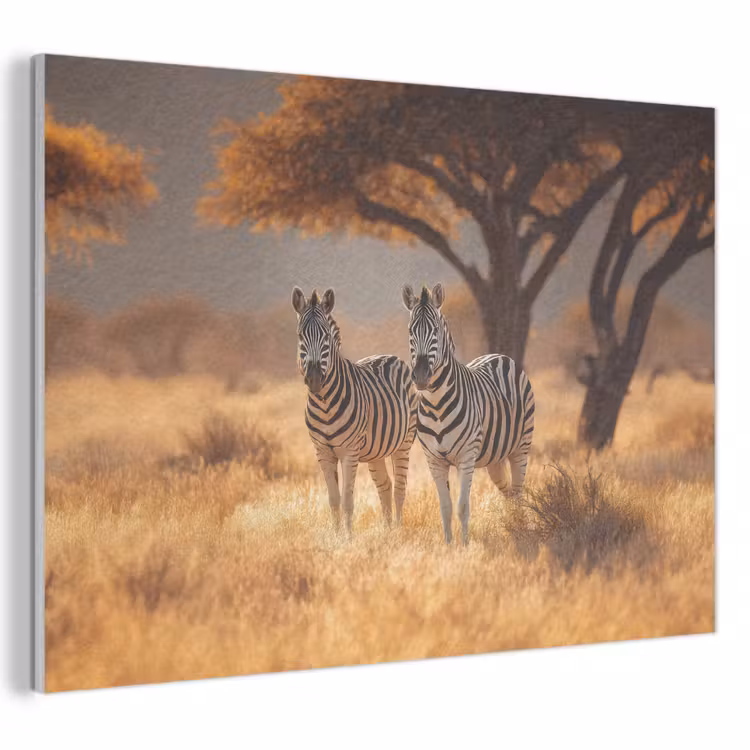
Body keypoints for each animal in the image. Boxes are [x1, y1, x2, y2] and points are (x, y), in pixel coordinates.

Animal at [292, 286, 418, 535]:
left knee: (400, 488)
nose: (314, 379)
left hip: (404, 442)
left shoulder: (349, 452)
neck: (324, 403)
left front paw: (348, 538)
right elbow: (333, 500)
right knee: (385, 485)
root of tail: (390, 356)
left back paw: (397, 531)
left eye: (326, 337)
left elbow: (347, 500)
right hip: (376, 451)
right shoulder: (322, 452)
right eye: (301, 336)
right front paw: (336, 536)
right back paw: (387, 531)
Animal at [402, 283, 535, 545]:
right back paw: (512, 525)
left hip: (520, 447)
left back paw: (520, 529)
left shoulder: (466, 457)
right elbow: (445, 507)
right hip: (495, 457)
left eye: (435, 330)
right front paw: (448, 546)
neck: (436, 405)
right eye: (411, 331)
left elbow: (462, 506)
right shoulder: (434, 461)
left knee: (518, 492)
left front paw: (464, 546)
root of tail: (499, 355)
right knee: (507, 491)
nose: (420, 376)